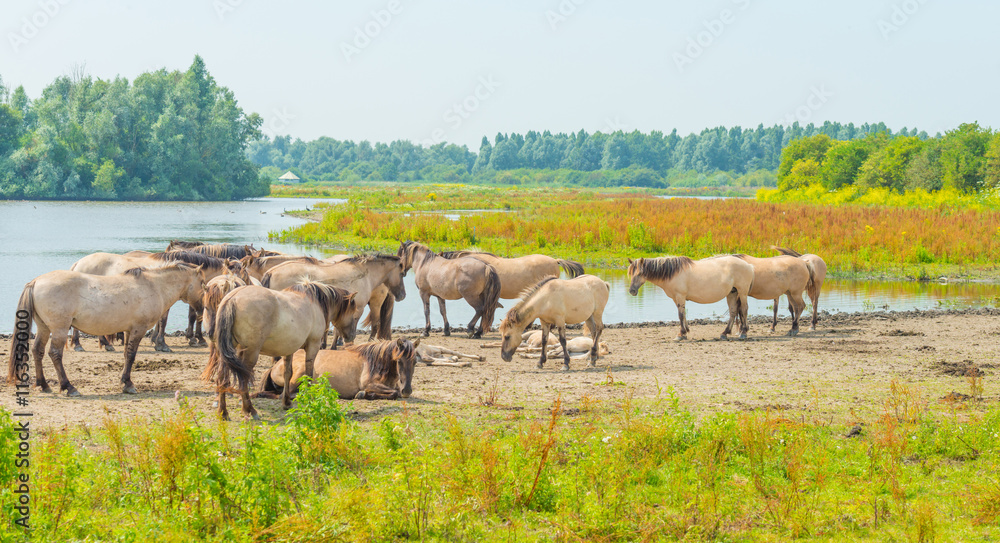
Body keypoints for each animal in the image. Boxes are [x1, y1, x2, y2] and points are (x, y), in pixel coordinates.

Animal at [5, 262, 205, 396]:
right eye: (203, 283)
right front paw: (128, 384)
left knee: (37, 351)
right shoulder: (138, 329)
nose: (202, 309)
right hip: (59, 328)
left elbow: (126, 355)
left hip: (44, 327)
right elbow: (131, 355)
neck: (153, 286)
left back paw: (43, 385)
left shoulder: (128, 330)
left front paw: (124, 381)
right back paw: (68, 387)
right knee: (54, 354)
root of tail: (36, 281)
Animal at [258, 338, 418, 402]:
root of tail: (274, 367)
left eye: (415, 362)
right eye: (399, 361)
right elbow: (394, 393)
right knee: (285, 394)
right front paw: (363, 394)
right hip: (300, 373)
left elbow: (394, 391)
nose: (407, 390)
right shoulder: (369, 384)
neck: (375, 361)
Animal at [624, 255, 752, 340]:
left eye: (640, 274)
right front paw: (685, 332)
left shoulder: (680, 296)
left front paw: (680, 334)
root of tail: (748, 265)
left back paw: (743, 333)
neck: (672, 273)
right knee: (733, 311)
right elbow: (683, 314)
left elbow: (680, 315)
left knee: (744, 309)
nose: (632, 291)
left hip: (742, 292)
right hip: (732, 293)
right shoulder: (676, 298)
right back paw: (724, 333)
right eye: (631, 274)